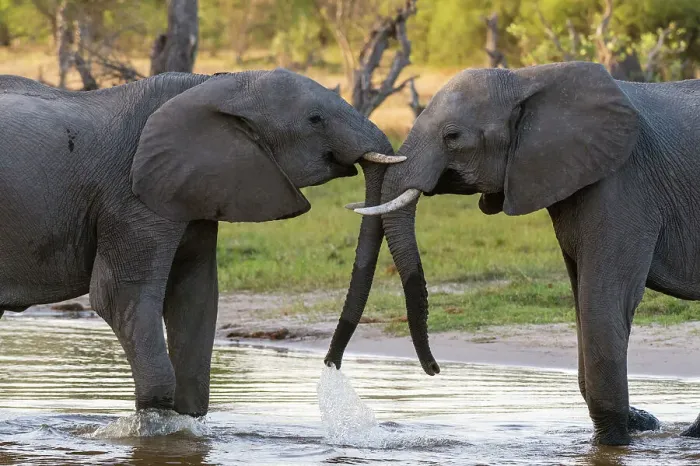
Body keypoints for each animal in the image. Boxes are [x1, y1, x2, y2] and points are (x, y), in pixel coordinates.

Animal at [0, 68, 402, 417]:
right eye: (315, 119)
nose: (331, 364)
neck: (211, 85)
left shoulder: (195, 187)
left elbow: (195, 293)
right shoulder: (130, 195)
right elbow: (118, 295)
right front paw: (155, 425)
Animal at [326, 61, 700, 445]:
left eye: (452, 137)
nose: (434, 368)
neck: (526, 79)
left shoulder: (623, 185)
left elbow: (604, 299)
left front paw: (613, 444)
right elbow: (582, 301)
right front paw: (636, 425)